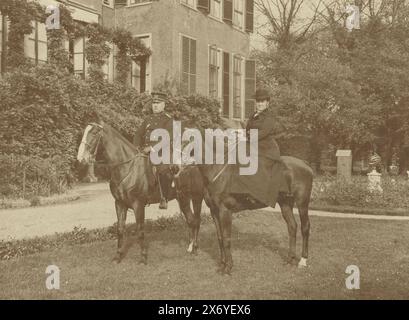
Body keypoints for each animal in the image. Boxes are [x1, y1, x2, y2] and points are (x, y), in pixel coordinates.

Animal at [75, 119, 202, 262]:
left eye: (94, 133)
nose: (80, 158)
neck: (127, 168)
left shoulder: (138, 205)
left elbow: (140, 230)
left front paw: (143, 257)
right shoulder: (119, 203)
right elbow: (120, 229)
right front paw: (118, 256)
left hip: (192, 198)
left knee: (194, 221)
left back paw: (194, 248)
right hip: (184, 199)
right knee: (192, 221)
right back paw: (191, 246)